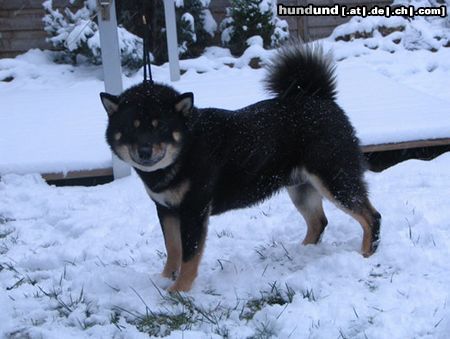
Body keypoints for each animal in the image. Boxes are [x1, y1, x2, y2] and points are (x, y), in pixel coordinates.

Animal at [100, 42, 382, 292]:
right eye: (131, 128)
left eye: (161, 127)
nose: (144, 151)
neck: (188, 147)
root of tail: (318, 97)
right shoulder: (166, 210)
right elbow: (173, 249)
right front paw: (164, 279)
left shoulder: (194, 210)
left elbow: (190, 255)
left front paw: (179, 290)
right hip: (302, 188)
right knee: (319, 222)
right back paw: (302, 252)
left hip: (335, 180)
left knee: (371, 216)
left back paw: (367, 253)